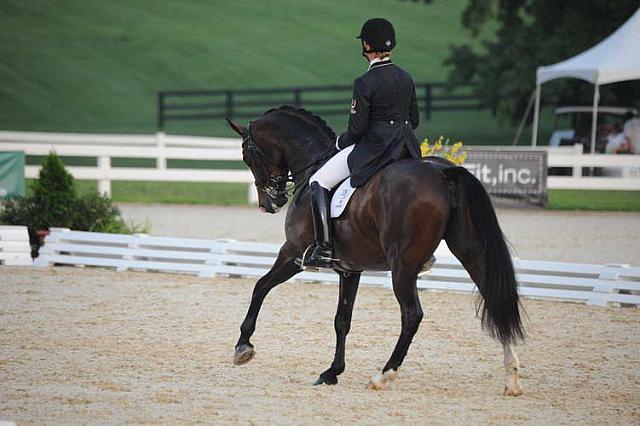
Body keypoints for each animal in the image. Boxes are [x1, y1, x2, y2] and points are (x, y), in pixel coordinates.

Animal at [225, 106, 524, 396]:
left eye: (246, 155)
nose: (269, 204)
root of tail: (442, 172)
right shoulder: (350, 269)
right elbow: (342, 319)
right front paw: (332, 372)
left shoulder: (294, 253)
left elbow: (261, 287)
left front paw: (243, 347)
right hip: (469, 250)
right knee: (494, 296)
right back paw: (511, 377)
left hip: (403, 265)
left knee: (412, 315)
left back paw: (383, 375)